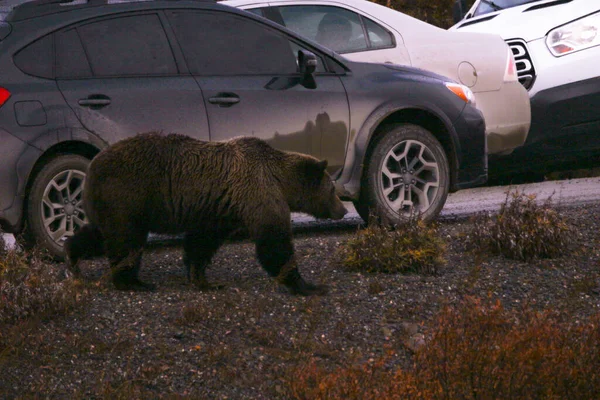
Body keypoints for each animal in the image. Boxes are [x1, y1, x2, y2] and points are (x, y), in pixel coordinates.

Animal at [64, 133, 346, 296]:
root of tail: (92, 166)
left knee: (101, 232)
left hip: (111, 203)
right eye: (333, 189)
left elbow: (202, 242)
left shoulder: (218, 208)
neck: (281, 181)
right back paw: (132, 282)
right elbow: (274, 243)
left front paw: (201, 278)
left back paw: (73, 257)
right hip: (128, 193)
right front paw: (308, 284)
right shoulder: (258, 194)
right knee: (126, 240)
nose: (343, 210)